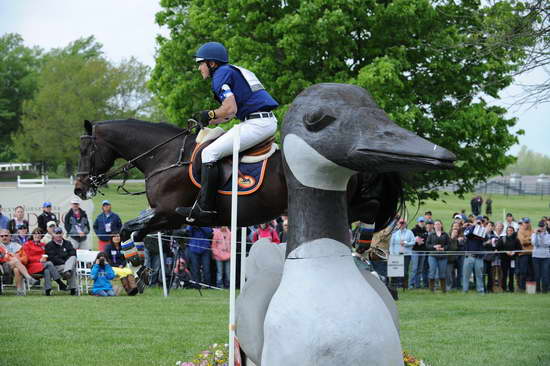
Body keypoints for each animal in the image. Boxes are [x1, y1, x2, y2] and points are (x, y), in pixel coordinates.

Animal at [74, 118, 406, 242]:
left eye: (85, 150)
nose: (79, 188)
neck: (166, 156)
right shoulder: (165, 216)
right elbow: (135, 228)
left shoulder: (170, 214)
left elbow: (133, 226)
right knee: (368, 210)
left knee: (366, 211)